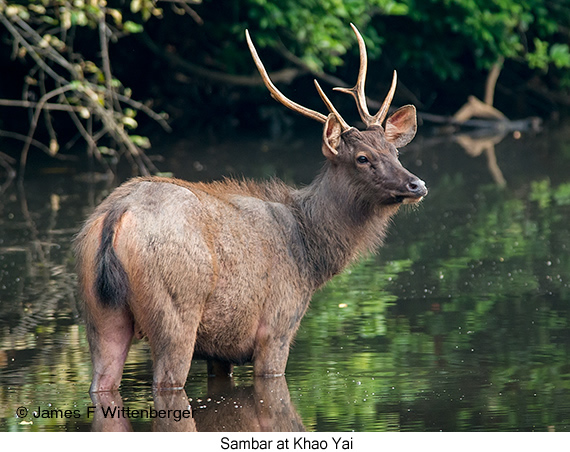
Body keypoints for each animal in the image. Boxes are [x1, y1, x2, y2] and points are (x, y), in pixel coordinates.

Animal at [73, 25, 424, 392]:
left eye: (394, 152)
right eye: (362, 158)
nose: (417, 185)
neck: (312, 255)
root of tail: (118, 213)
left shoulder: (220, 349)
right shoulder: (278, 326)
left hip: (97, 309)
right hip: (176, 308)